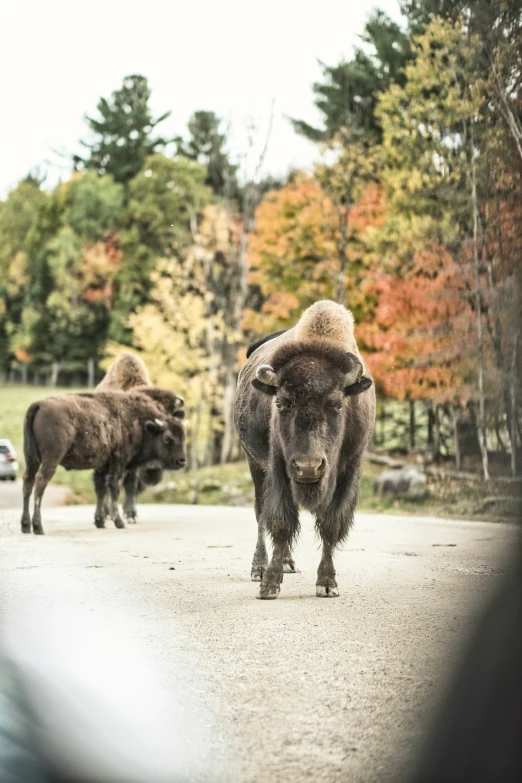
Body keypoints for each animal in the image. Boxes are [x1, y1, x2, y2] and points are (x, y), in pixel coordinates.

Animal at [20, 390, 187, 536]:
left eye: (183, 436)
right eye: (167, 438)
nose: (181, 461)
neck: (140, 423)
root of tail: (39, 404)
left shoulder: (102, 466)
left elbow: (100, 490)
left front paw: (100, 521)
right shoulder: (119, 462)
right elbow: (114, 489)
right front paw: (119, 522)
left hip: (30, 459)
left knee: (28, 482)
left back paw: (26, 526)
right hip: (51, 459)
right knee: (40, 483)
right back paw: (38, 527)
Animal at [96, 358, 184, 524]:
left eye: (170, 414)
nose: (154, 466)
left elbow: (131, 485)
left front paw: (131, 514)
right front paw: (128, 514)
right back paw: (106, 513)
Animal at [233, 300, 374, 600]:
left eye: (338, 403)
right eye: (281, 403)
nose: (308, 466)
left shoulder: (349, 470)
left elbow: (331, 525)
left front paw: (328, 584)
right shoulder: (277, 467)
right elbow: (280, 522)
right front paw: (269, 585)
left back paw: (288, 563)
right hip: (255, 465)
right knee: (261, 514)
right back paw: (259, 567)